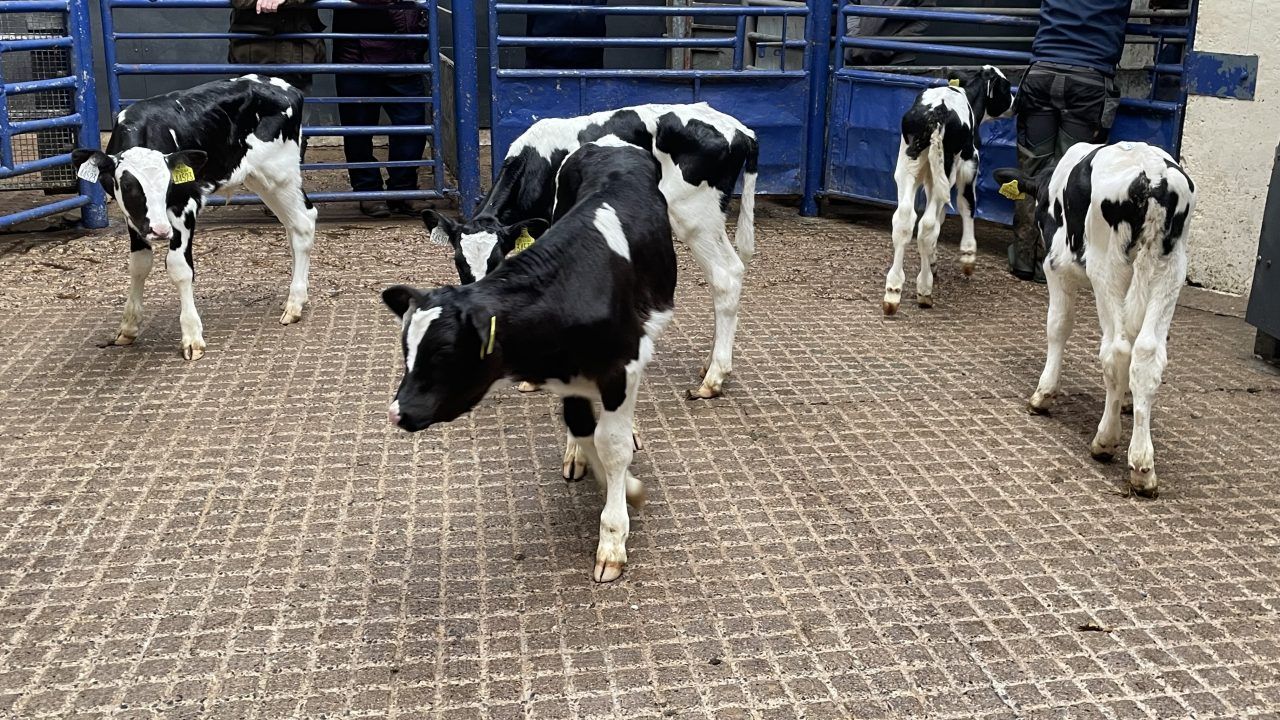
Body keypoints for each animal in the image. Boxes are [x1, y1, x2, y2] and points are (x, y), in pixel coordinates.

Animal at [71, 75, 316, 360]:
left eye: (169, 186)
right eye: (129, 186)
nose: (160, 230)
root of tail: (284, 86)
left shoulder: (185, 205)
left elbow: (179, 268)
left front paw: (191, 336)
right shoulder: (134, 219)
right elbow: (139, 265)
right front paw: (129, 326)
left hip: (279, 174)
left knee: (303, 223)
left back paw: (294, 303)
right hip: (261, 179)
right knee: (293, 225)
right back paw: (298, 297)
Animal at [383, 139, 676, 582]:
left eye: (444, 352)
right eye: (407, 349)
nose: (398, 412)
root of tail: (610, 143)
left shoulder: (621, 364)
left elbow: (613, 445)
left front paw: (614, 536)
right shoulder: (567, 374)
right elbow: (583, 428)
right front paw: (620, 483)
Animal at [423, 102, 757, 400]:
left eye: (496, 262)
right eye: (459, 263)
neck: (537, 161)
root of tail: (741, 130)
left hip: (695, 216)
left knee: (726, 275)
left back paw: (713, 378)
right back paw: (708, 366)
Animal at [883, 66, 1012, 315]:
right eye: (1006, 86)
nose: (1015, 101)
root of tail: (938, 111)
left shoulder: (929, 180)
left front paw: (933, 258)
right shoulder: (969, 166)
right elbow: (967, 205)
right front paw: (968, 256)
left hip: (907, 168)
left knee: (904, 221)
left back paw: (893, 291)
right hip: (946, 169)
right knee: (927, 225)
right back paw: (924, 289)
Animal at [994, 141, 1196, 498]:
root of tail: (1153, 177)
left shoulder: (1055, 265)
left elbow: (1058, 325)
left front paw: (1043, 394)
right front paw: (1127, 400)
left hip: (1107, 269)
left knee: (1116, 350)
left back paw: (1107, 441)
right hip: (1170, 270)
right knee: (1146, 353)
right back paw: (1144, 467)